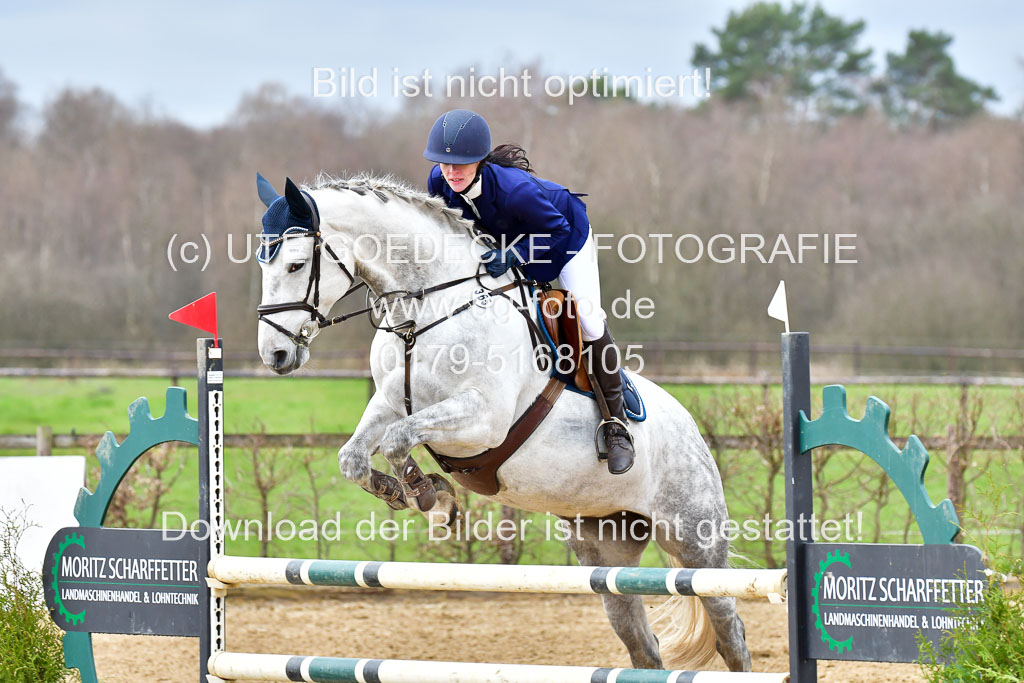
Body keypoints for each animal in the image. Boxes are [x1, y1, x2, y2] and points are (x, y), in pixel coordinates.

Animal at [254, 173, 751, 673]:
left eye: (296, 265)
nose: (275, 355)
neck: (428, 310)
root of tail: (693, 429)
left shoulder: (483, 419)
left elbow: (398, 441)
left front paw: (431, 496)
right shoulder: (391, 402)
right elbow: (354, 458)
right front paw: (408, 492)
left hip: (696, 542)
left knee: (731, 631)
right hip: (605, 549)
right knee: (642, 643)